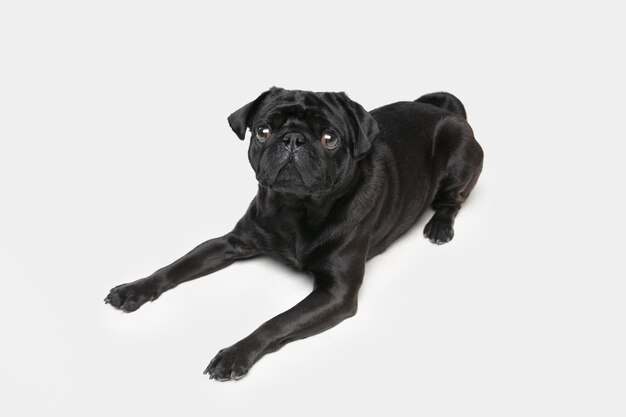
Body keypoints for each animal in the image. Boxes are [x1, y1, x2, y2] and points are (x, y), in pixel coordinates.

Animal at [103, 87, 482, 380]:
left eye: (330, 139)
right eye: (263, 131)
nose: (293, 139)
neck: (295, 209)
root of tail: (442, 110)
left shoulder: (336, 294)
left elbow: (277, 322)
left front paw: (235, 354)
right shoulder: (230, 244)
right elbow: (175, 267)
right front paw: (135, 289)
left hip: (458, 159)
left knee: (453, 200)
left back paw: (439, 226)